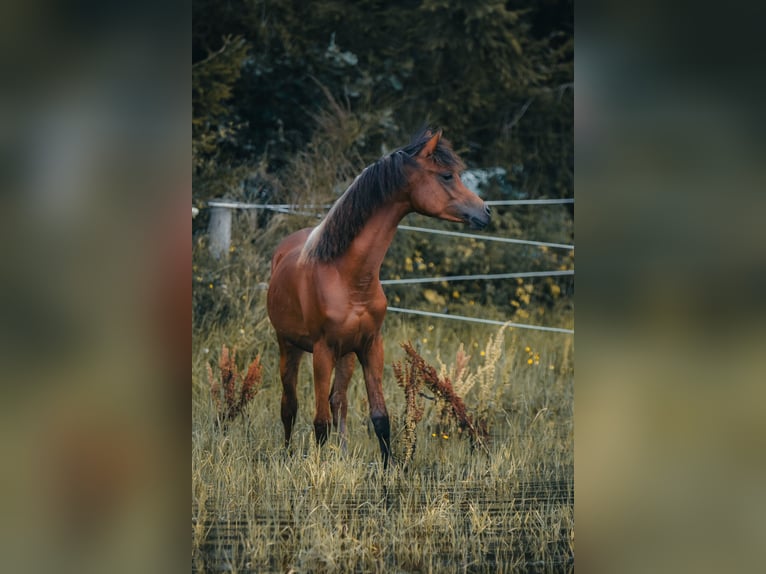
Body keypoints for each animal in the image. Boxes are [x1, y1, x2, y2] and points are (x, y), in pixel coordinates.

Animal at [268, 127, 488, 468]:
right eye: (447, 175)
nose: (485, 212)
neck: (348, 276)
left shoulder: (371, 346)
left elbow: (379, 417)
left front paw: (389, 469)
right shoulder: (322, 351)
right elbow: (319, 423)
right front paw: (319, 470)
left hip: (345, 355)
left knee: (338, 401)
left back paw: (343, 456)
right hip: (289, 346)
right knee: (290, 405)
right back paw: (287, 455)